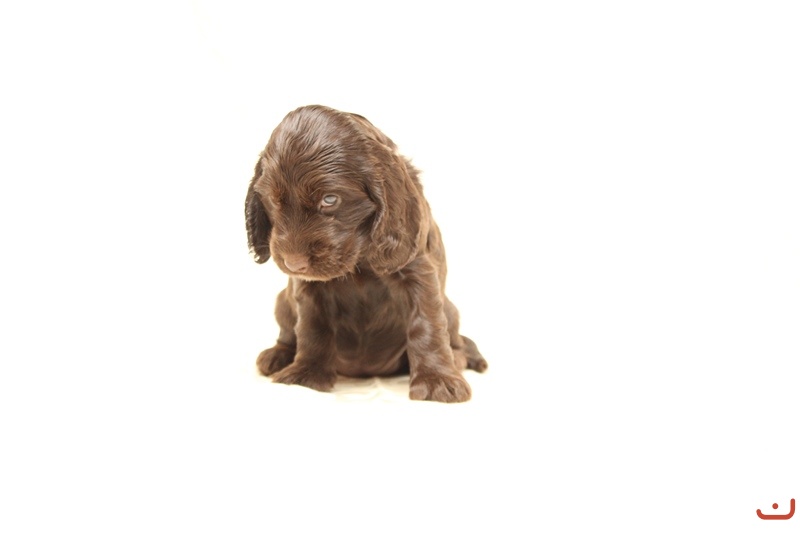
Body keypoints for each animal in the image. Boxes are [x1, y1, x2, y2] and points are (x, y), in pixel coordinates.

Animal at [245, 105, 487, 402]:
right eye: (272, 200)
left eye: (330, 199)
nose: (294, 264)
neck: (359, 259)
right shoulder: (309, 288)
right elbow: (312, 326)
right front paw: (305, 375)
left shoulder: (418, 271)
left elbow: (426, 324)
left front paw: (437, 380)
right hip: (282, 300)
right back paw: (277, 355)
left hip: (451, 310)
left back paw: (457, 358)